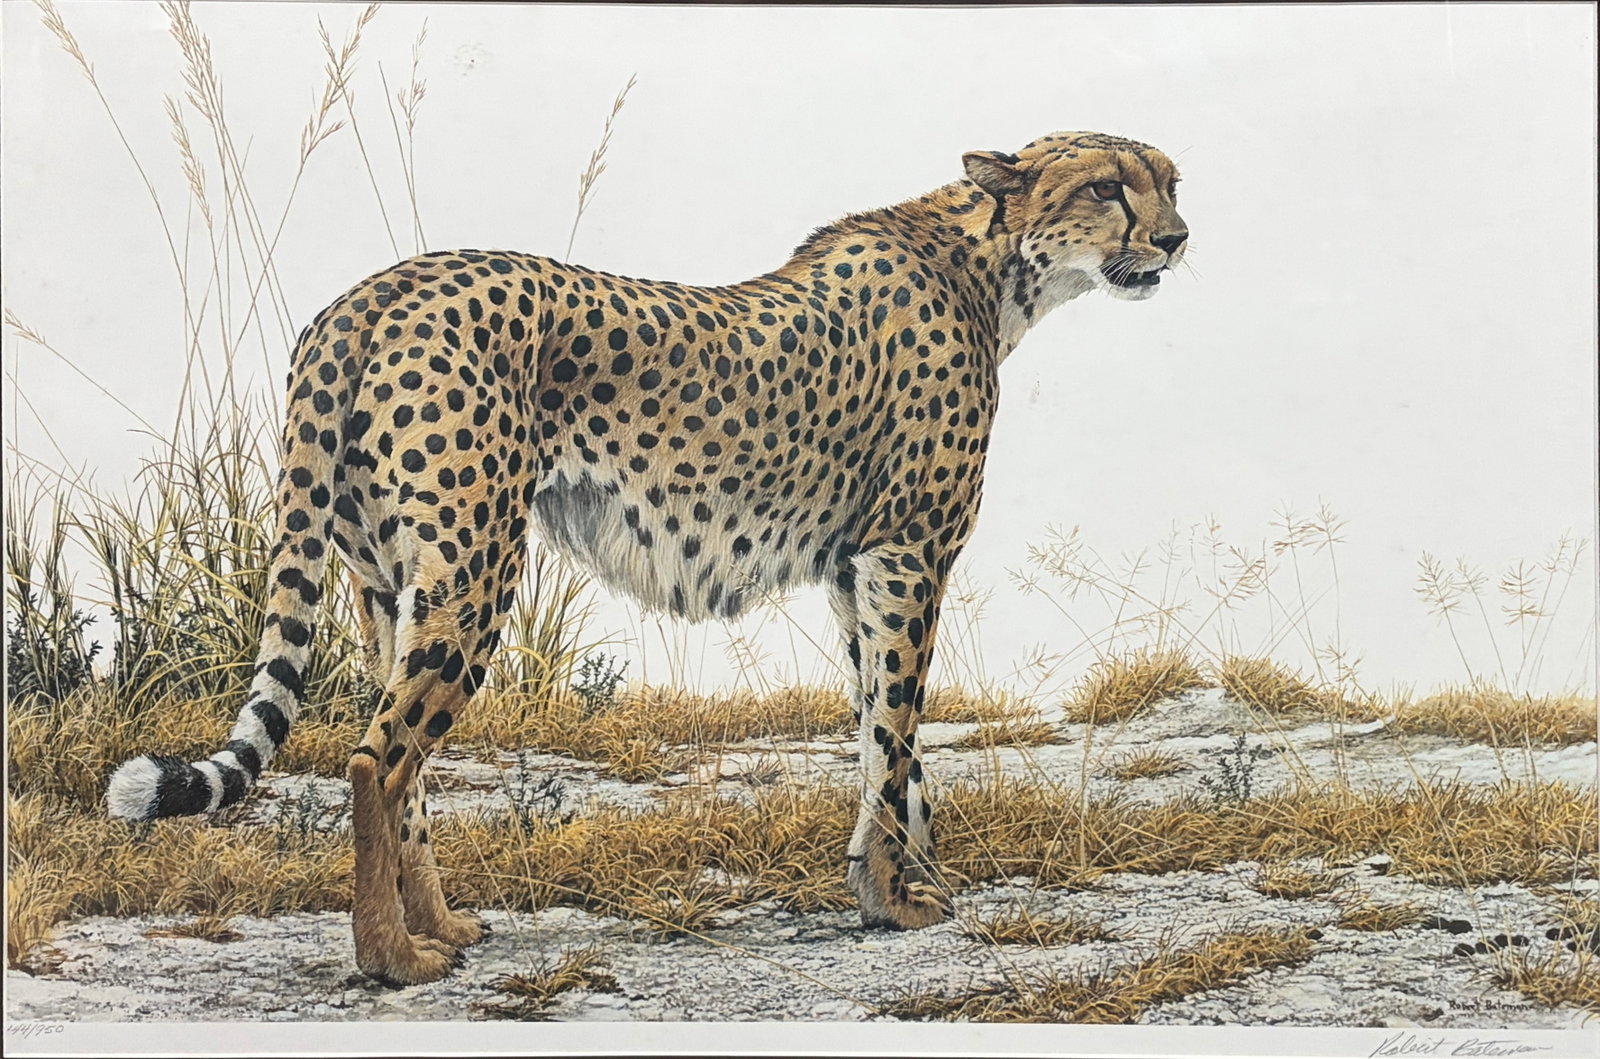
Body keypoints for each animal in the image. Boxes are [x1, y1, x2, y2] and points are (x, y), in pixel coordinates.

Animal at [107, 130, 1187, 985]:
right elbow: (893, 736)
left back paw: (442, 927)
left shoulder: (856, 568)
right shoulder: (905, 553)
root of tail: (372, 292)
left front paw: (905, 883)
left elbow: (887, 732)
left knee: (401, 761)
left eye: (1169, 181)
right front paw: (894, 898)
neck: (992, 261)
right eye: (1107, 186)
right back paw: (392, 960)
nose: (1176, 238)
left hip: (386, 582)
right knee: (377, 758)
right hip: (474, 571)